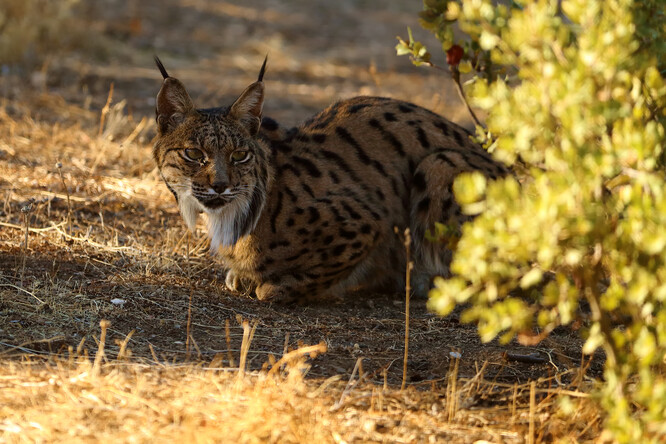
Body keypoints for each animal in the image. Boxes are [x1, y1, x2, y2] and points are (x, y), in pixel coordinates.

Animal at [153, 56, 506, 302]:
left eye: (239, 155)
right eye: (194, 154)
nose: (220, 185)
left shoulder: (369, 222)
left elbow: (278, 286)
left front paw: (275, 285)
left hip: (438, 162)